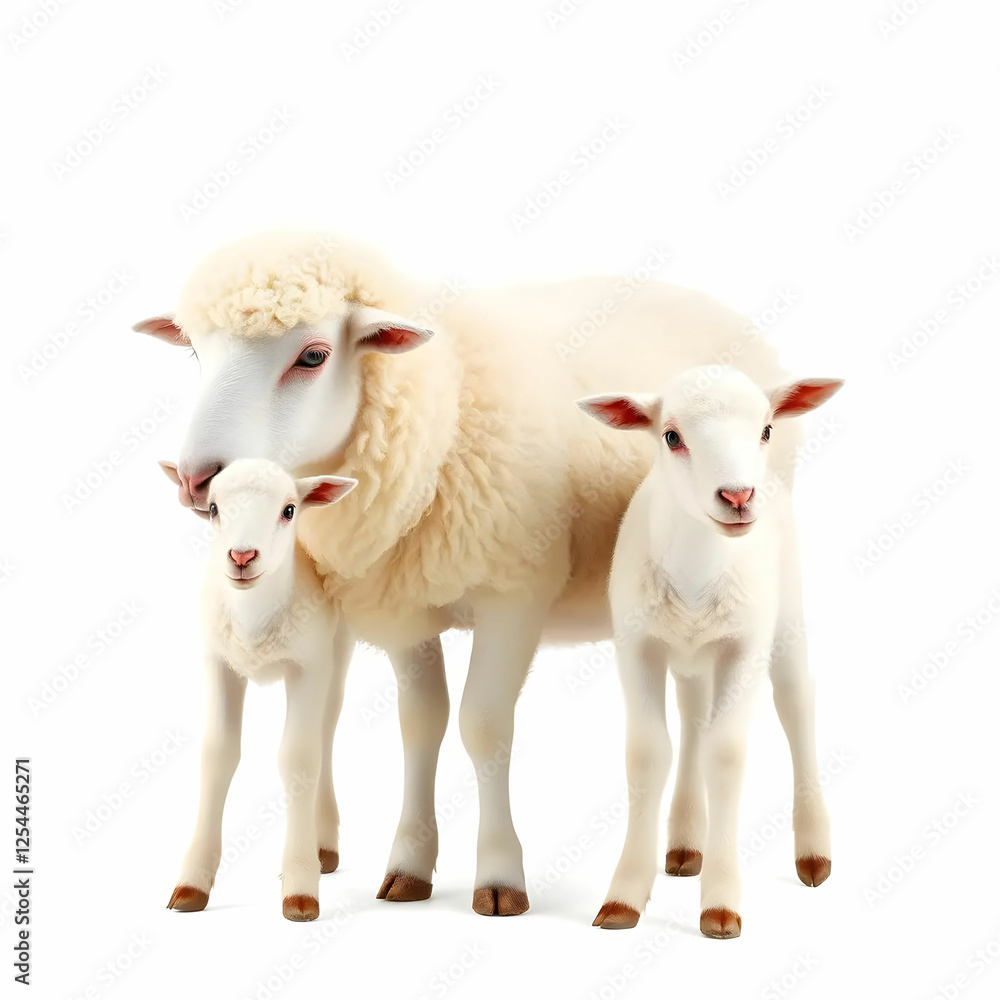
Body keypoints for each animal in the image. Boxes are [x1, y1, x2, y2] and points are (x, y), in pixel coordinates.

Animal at [159, 457, 357, 921]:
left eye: (288, 510)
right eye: (213, 508)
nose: (243, 555)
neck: (254, 624)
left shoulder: (308, 666)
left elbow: (299, 760)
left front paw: (300, 885)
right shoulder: (218, 663)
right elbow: (217, 755)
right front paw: (192, 882)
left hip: (336, 651)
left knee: (325, 731)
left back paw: (322, 845)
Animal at [579, 366, 842, 938]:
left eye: (766, 430)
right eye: (671, 436)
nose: (738, 496)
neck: (697, 574)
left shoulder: (743, 647)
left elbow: (725, 755)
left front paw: (721, 906)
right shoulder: (637, 646)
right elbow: (649, 754)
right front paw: (624, 897)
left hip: (786, 614)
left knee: (796, 703)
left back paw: (814, 854)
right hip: (693, 660)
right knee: (694, 719)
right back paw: (684, 847)